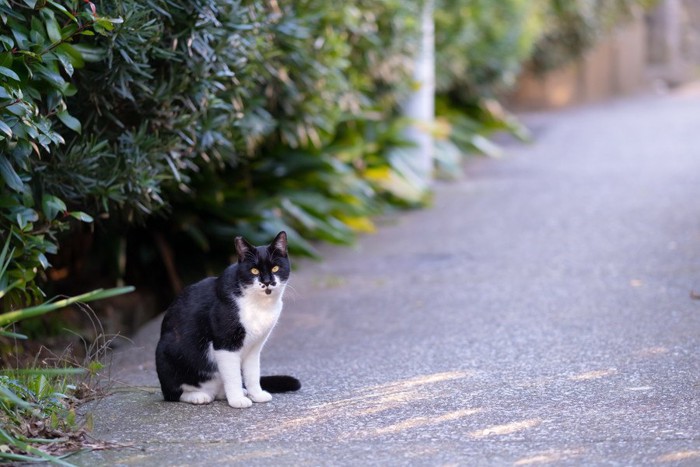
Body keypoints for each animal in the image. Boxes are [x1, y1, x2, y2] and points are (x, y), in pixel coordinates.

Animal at [154, 232, 300, 408]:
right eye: (254, 270)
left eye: (275, 268)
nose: (266, 282)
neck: (259, 305)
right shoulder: (225, 344)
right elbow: (233, 376)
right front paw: (237, 400)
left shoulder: (254, 348)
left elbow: (252, 373)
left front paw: (256, 394)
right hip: (166, 354)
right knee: (173, 393)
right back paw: (198, 396)